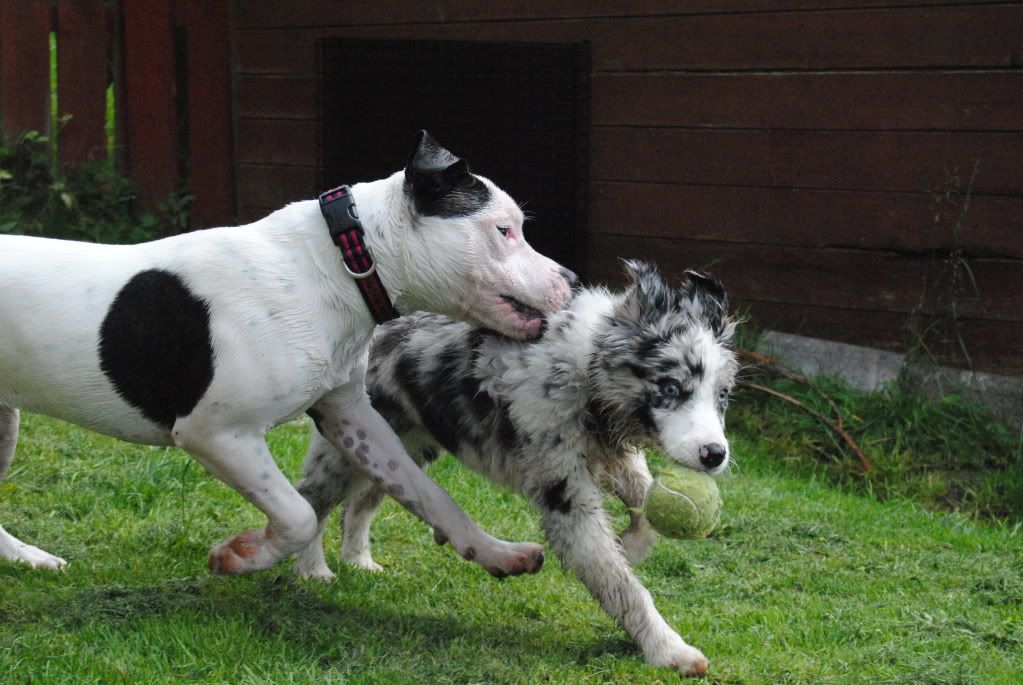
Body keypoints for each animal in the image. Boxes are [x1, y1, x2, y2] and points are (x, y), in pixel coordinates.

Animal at [0, 130, 576, 580]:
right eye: (504, 230)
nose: (571, 280)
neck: (339, 264)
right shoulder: (218, 435)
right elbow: (298, 515)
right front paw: (243, 555)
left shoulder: (351, 415)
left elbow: (429, 494)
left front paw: (496, 553)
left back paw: (28, 558)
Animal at [292, 261, 740, 674]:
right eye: (671, 388)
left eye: (722, 395)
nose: (715, 454)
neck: (585, 373)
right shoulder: (565, 496)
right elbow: (621, 584)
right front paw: (670, 650)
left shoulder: (617, 457)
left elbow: (647, 506)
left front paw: (630, 545)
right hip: (346, 444)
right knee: (312, 499)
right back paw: (313, 569)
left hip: (405, 448)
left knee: (363, 501)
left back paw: (358, 560)